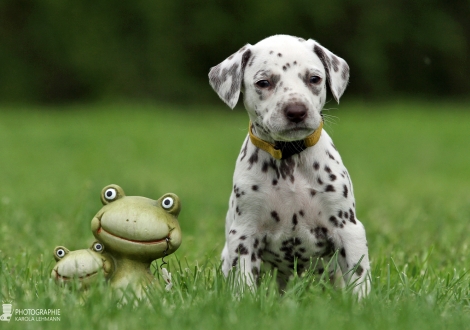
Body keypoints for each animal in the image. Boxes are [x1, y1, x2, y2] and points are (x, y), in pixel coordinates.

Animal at [209, 34, 370, 298]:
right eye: (263, 82)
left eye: (314, 79)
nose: (296, 111)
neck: (289, 159)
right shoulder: (244, 234)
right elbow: (243, 281)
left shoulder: (348, 229)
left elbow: (359, 277)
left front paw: (362, 303)